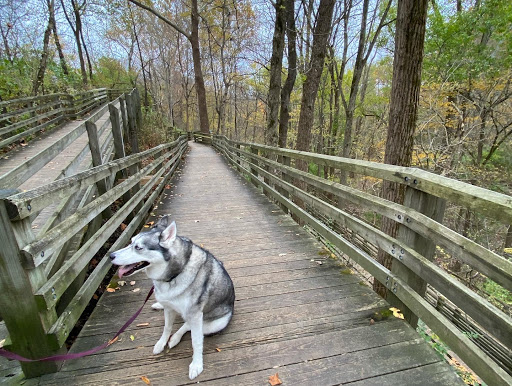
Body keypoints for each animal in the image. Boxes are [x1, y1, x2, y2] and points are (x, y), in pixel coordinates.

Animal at [110, 217, 236, 380]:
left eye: (138, 247)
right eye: (131, 242)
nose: (110, 256)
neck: (175, 274)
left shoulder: (195, 315)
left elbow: (196, 341)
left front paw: (196, 364)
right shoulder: (169, 308)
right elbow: (167, 327)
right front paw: (161, 343)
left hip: (214, 324)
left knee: (188, 326)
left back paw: (175, 337)